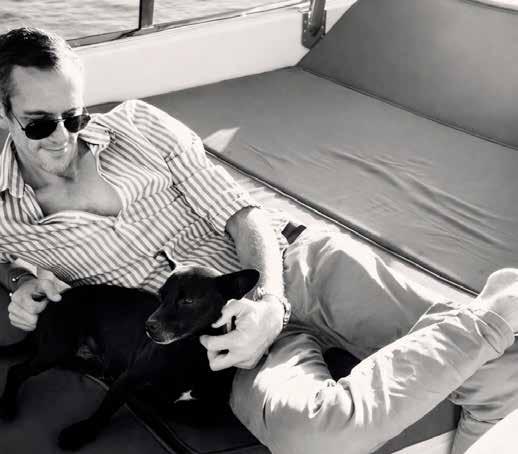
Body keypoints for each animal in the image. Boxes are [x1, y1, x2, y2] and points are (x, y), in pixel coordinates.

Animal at [0, 260, 259, 451]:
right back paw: (8, 406)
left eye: (188, 300)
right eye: (161, 295)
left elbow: (183, 412)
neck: (188, 351)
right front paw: (82, 432)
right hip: (58, 346)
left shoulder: (208, 412)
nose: (149, 326)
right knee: (16, 370)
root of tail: (55, 301)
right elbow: (107, 408)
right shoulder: (128, 380)